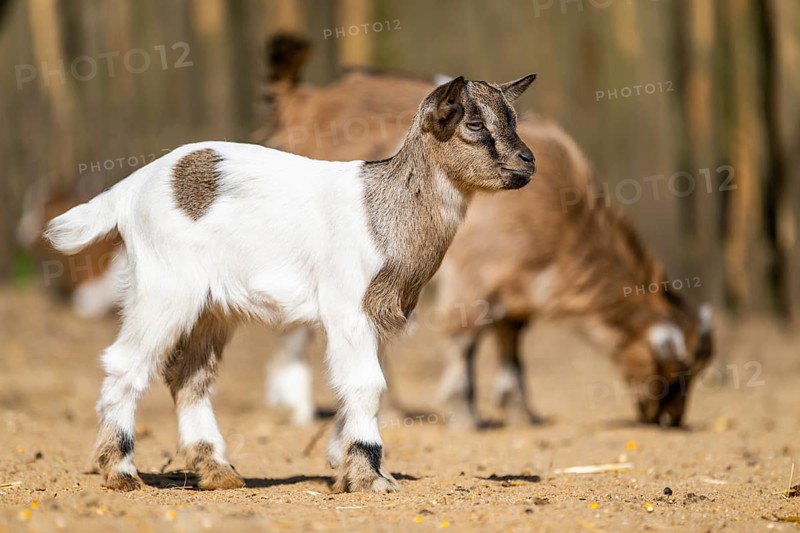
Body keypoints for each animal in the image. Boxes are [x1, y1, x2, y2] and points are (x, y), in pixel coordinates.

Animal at [46, 74, 538, 492]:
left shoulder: (379, 315)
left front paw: (344, 465)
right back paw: (120, 471)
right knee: (125, 362)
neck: (384, 207)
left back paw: (218, 471)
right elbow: (367, 385)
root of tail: (131, 188)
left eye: (512, 118)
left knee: (189, 376)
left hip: (212, 307)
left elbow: (352, 385)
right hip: (165, 289)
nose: (527, 162)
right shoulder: (348, 307)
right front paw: (369, 476)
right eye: (473, 123)